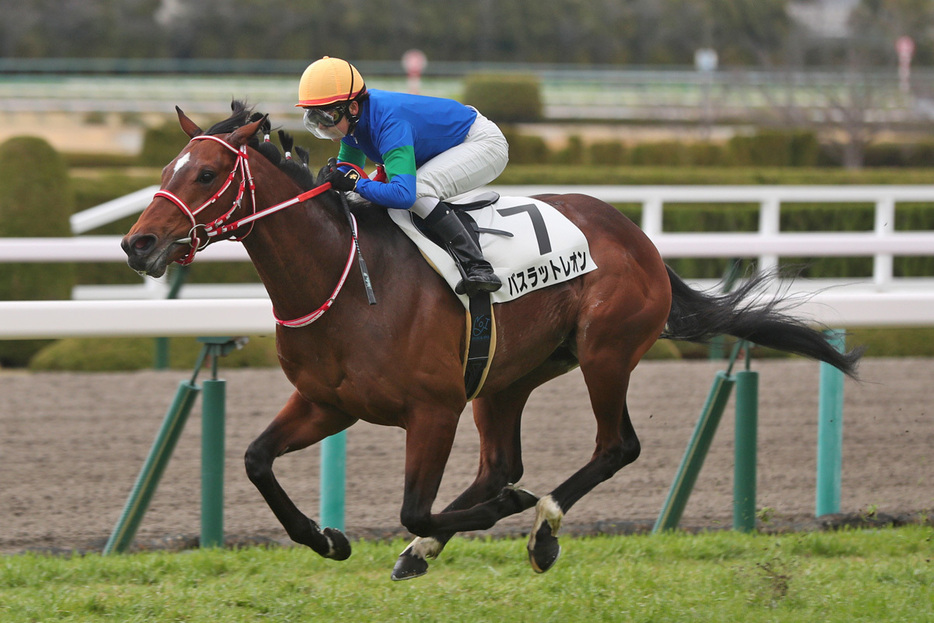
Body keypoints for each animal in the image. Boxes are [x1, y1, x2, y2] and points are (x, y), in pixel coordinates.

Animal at [122, 103, 864, 580]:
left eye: (207, 174)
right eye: (165, 169)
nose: (139, 243)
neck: (346, 278)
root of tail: (639, 239)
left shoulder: (433, 408)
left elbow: (413, 504)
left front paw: (504, 514)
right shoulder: (326, 402)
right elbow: (255, 460)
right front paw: (326, 539)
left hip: (604, 353)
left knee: (615, 446)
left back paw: (540, 525)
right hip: (506, 377)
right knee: (501, 462)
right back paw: (433, 546)